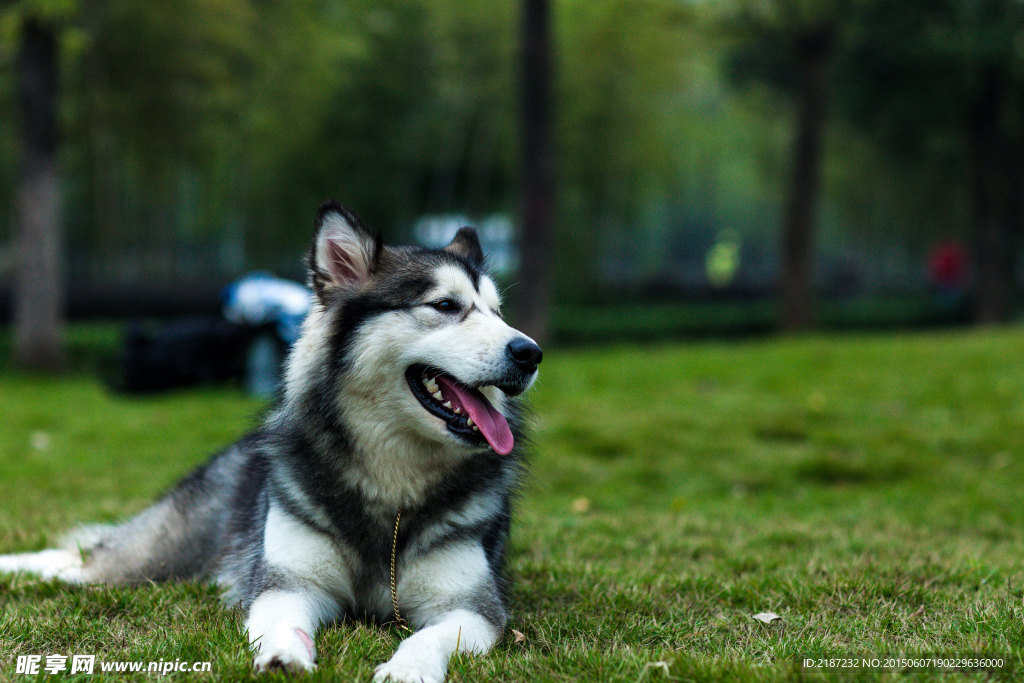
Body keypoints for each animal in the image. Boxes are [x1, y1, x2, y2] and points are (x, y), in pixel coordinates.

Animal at [0, 200, 544, 679]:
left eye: (498, 312)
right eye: (445, 305)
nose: (530, 352)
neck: (389, 481)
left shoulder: (471, 608)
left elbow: (427, 636)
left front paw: (407, 670)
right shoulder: (286, 585)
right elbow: (283, 620)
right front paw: (285, 655)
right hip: (155, 557)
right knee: (83, 562)